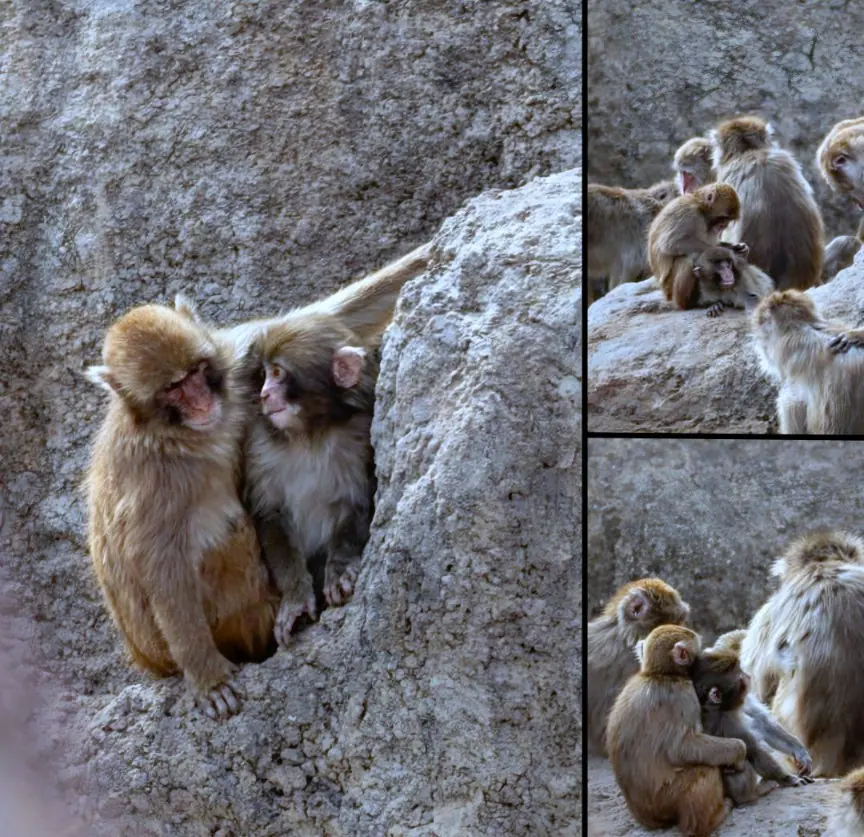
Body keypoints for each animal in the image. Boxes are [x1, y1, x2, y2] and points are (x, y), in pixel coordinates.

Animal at [85, 298, 278, 719]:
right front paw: (209, 677)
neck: (172, 430)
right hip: (227, 617)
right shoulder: (154, 479)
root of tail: (149, 663)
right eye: (174, 388)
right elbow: (161, 564)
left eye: (196, 372)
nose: (202, 401)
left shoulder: (230, 364)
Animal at [241, 244, 432, 649]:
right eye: (263, 374)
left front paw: (340, 570)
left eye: (278, 373)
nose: (264, 394)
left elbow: (357, 500)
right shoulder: (260, 447)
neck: (309, 433)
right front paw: (296, 598)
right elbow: (270, 513)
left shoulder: (356, 437)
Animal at [606, 625, 746, 837]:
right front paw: (739, 751)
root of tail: (649, 820)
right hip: (666, 798)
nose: (702, 655)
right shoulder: (684, 694)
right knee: (705, 769)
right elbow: (683, 747)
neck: (659, 674)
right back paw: (707, 823)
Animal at [690, 647, 811, 805]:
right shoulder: (727, 720)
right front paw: (787, 779)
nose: (747, 675)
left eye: (740, 669)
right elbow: (753, 751)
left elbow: (763, 722)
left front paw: (801, 752)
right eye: (739, 674)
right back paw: (756, 791)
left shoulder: (743, 700)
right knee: (742, 755)